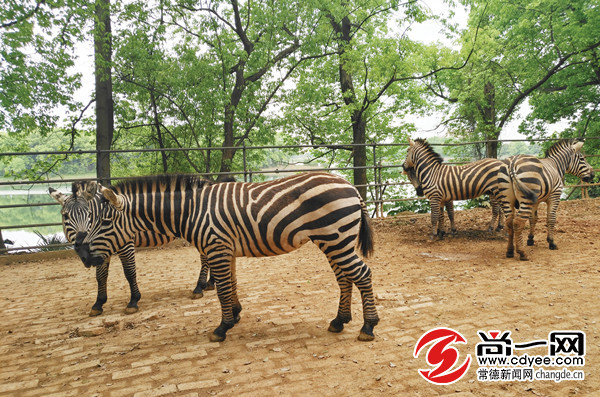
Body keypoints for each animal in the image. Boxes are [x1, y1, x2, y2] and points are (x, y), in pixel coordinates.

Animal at [50, 183, 216, 316]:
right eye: (65, 216)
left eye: (90, 214)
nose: (82, 249)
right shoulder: (103, 249)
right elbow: (101, 276)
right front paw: (98, 304)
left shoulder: (125, 244)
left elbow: (129, 272)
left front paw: (133, 301)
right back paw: (210, 283)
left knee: (205, 257)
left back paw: (199, 287)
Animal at [71, 172, 380, 342]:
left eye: (104, 222)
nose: (83, 256)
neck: (191, 210)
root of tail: (350, 185)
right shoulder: (224, 249)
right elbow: (230, 285)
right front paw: (236, 313)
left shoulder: (216, 247)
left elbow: (220, 289)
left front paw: (222, 327)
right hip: (332, 240)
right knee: (345, 277)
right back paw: (339, 321)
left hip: (336, 237)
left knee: (363, 274)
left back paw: (368, 326)